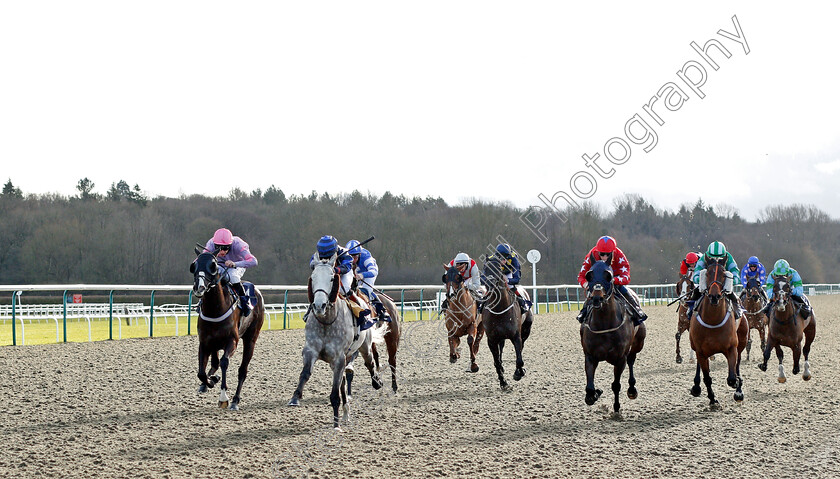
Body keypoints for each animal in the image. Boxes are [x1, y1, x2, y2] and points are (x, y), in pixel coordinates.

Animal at [189, 249, 262, 410]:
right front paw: (211, 380)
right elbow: (201, 372)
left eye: (213, 266)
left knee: (242, 370)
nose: (199, 288)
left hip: (251, 340)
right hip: (215, 344)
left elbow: (224, 362)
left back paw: (235, 400)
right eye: (193, 266)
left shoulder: (232, 341)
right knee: (214, 363)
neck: (215, 310)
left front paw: (223, 397)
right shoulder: (204, 342)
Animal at [288, 256, 382, 430]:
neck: (326, 321)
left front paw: (336, 424)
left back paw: (377, 382)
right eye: (313, 277)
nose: (319, 305)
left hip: (363, 346)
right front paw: (295, 397)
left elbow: (334, 393)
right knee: (343, 381)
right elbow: (305, 373)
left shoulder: (338, 357)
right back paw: (345, 412)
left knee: (370, 363)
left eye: (332, 278)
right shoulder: (311, 351)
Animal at [580, 260, 648, 414]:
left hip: (637, 344)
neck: (604, 325)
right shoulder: (590, 356)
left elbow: (616, 385)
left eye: (608, 276)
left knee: (631, 360)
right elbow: (590, 388)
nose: (597, 298)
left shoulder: (620, 358)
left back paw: (632, 389)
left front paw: (616, 408)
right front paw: (595, 393)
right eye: (589, 276)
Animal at [688, 258, 748, 408]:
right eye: (708, 273)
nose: (714, 296)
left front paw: (737, 385)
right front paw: (712, 399)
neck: (713, 320)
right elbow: (707, 378)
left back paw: (739, 390)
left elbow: (732, 377)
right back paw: (696, 387)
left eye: (724, 274)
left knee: (738, 364)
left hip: (742, 341)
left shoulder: (731, 348)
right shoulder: (701, 352)